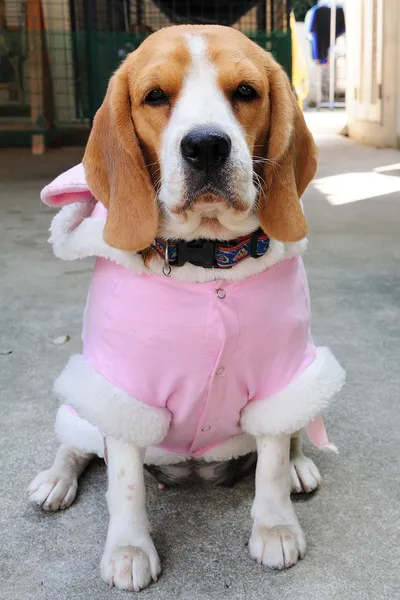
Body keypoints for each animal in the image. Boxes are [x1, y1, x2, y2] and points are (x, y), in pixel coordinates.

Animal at [27, 25, 344, 592]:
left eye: (245, 91)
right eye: (155, 96)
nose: (206, 146)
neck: (207, 262)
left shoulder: (279, 373)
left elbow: (269, 462)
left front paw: (275, 526)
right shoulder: (124, 386)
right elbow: (125, 483)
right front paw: (129, 548)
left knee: (292, 434)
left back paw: (299, 465)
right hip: (86, 401)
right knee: (77, 441)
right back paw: (56, 478)